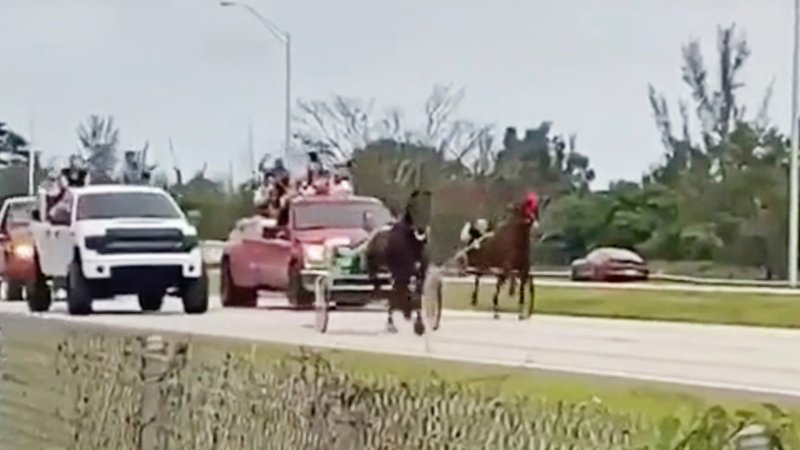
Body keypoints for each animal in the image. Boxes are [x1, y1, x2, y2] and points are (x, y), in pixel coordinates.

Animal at [366, 190, 434, 334]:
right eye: (414, 206)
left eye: (429, 205)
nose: (421, 229)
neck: (413, 242)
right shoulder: (402, 272)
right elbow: (404, 293)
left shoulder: (420, 274)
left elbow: (417, 295)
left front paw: (419, 324)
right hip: (381, 270)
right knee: (392, 291)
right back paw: (392, 320)